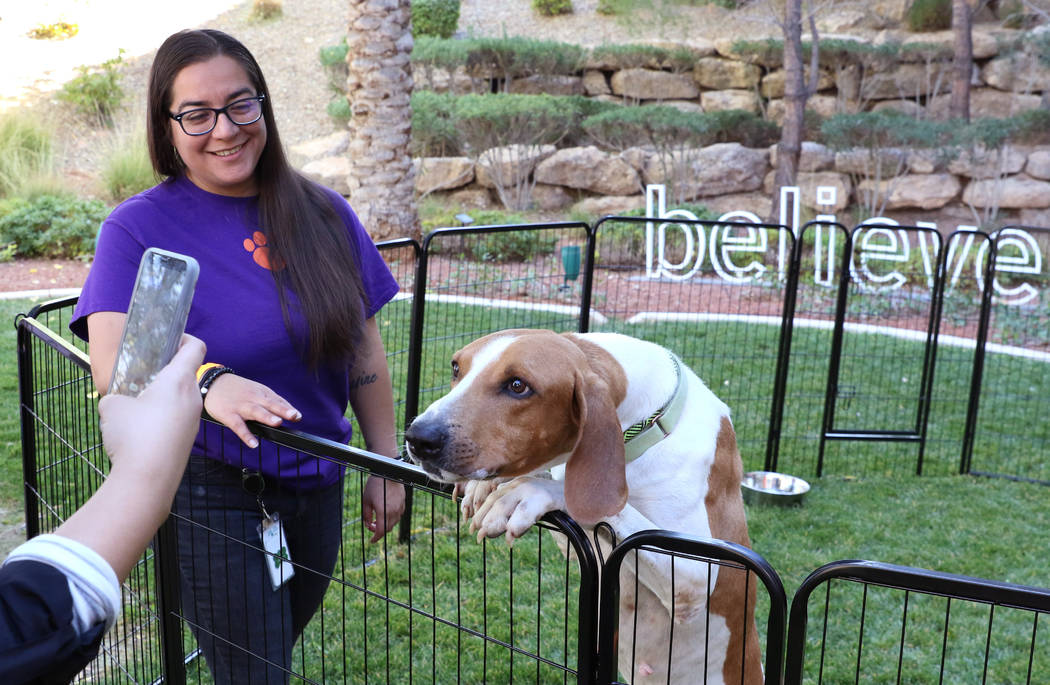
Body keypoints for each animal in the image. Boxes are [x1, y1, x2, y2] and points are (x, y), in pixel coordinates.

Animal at [403, 329, 764, 680]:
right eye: (456, 368)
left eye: (518, 385)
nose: (418, 437)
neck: (647, 428)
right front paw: (490, 483)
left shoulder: (694, 578)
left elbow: (594, 502)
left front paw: (529, 490)